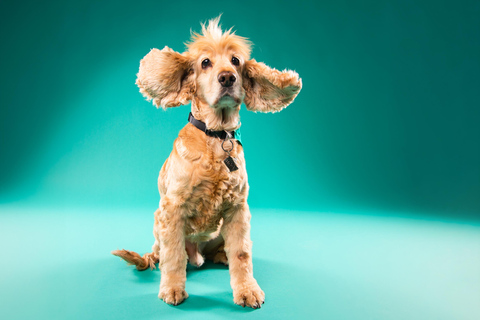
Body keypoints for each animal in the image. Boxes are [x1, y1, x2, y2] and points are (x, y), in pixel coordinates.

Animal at [112, 16, 300, 308]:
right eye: (205, 63)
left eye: (235, 61)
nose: (227, 77)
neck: (216, 136)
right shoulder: (173, 209)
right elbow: (174, 256)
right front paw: (172, 288)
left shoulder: (237, 209)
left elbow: (242, 254)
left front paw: (247, 289)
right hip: (157, 224)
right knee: (163, 254)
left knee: (221, 251)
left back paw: (220, 255)